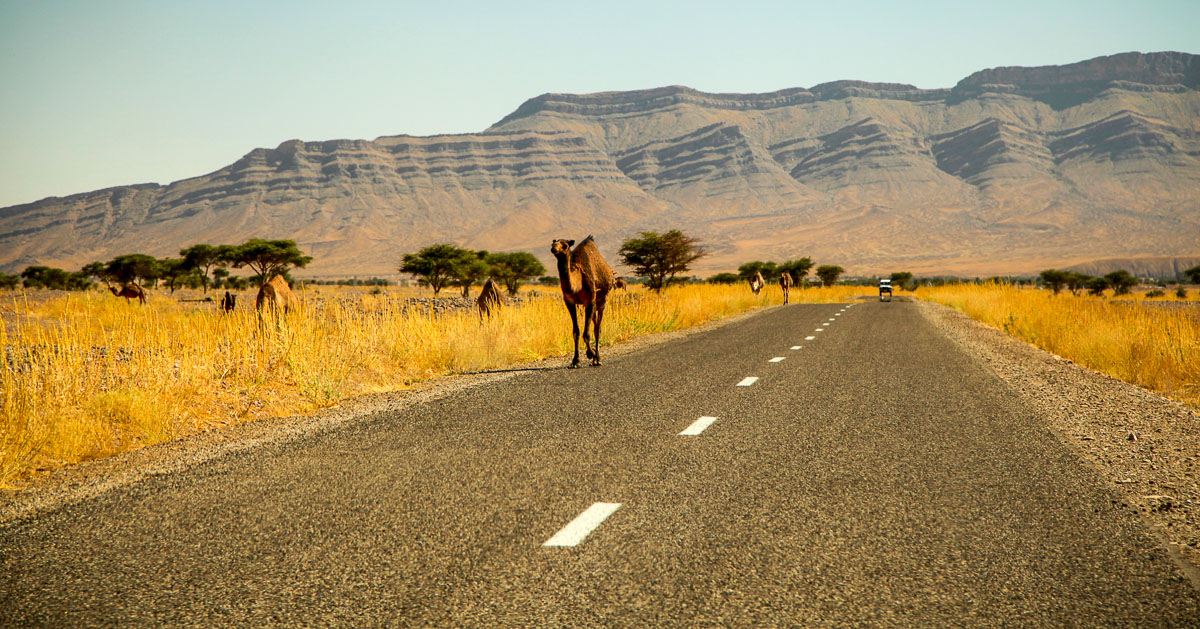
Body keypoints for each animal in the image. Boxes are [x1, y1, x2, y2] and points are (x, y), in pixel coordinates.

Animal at [549, 235, 614, 369]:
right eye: (553, 243)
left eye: (565, 245)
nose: (554, 248)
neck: (577, 284)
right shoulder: (569, 302)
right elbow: (576, 332)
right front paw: (575, 361)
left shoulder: (590, 300)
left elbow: (586, 333)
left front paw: (591, 354)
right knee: (595, 325)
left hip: (601, 300)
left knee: (598, 329)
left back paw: (597, 359)